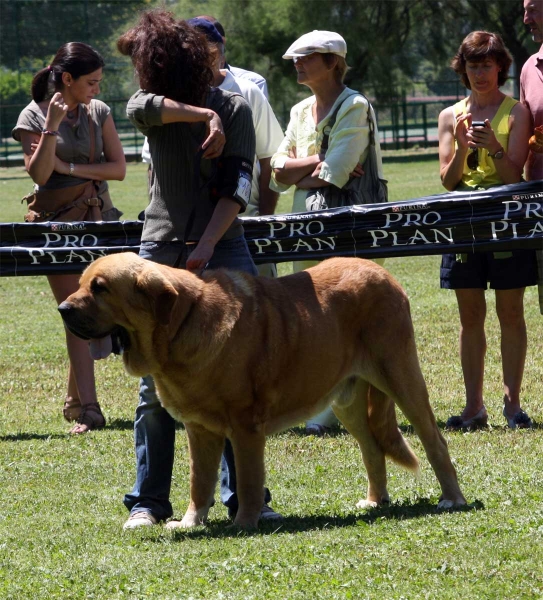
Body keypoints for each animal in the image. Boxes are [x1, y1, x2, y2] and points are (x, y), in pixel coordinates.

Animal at [59, 253, 468, 528]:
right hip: (348, 399)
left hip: (401, 377)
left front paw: (244, 523)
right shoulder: (199, 430)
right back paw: (374, 501)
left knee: (434, 440)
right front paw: (190, 523)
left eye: (100, 288)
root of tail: (382, 272)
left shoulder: (245, 428)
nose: (62, 308)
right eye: (80, 284)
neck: (182, 323)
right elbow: (199, 482)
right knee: (371, 448)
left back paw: (453, 499)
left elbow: (249, 479)